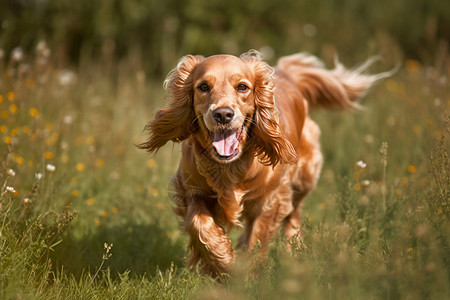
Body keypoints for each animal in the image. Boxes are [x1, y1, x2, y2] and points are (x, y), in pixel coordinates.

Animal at [139, 49, 382, 276]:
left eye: (242, 87)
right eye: (203, 87)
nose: (223, 114)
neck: (229, 168)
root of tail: (287, 74)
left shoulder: (270, 199)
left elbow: (257, 238)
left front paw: (247, 273)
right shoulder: (189, 190)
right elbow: (200, 225)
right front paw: (221, 261)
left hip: (304, 177)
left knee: (294, 214)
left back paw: (293, 249)